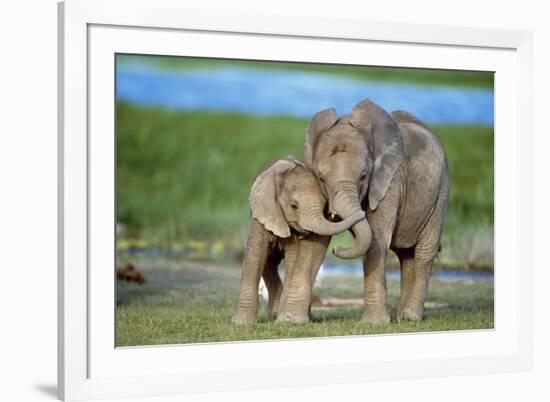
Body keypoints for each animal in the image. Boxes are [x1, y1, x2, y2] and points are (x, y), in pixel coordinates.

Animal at [234, 155, 366, 326]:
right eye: (294, 206)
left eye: (324, 205)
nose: (335, 249)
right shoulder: (262, 213)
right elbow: (255, 255)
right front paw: (241, 323)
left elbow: (293, 259)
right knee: (268, 262)